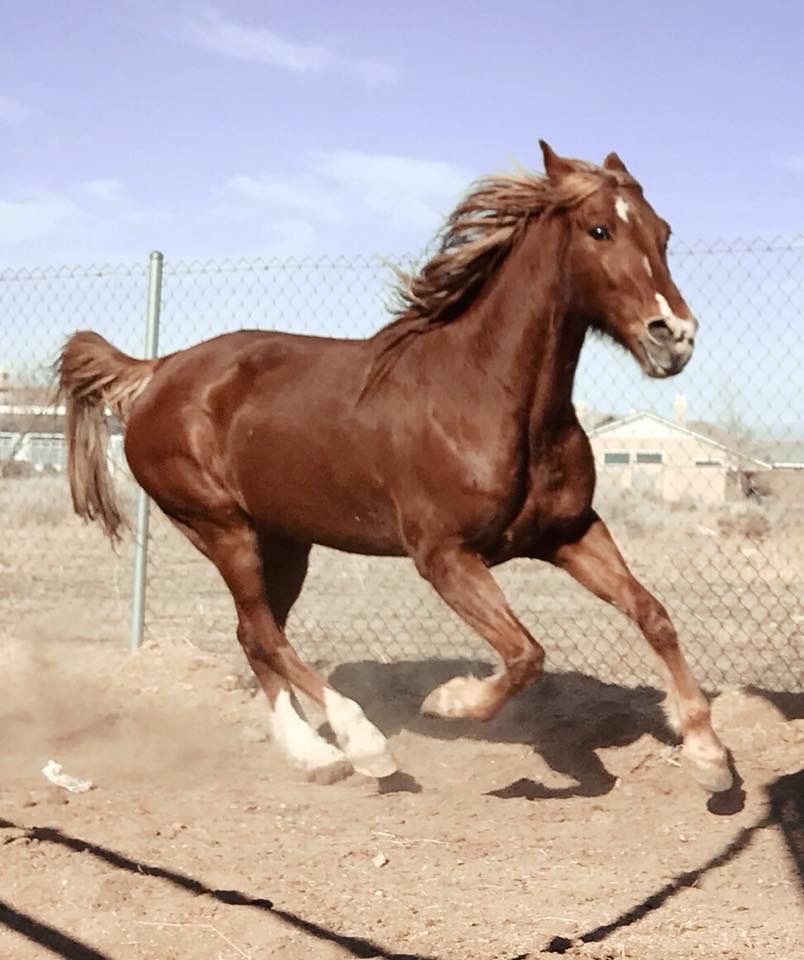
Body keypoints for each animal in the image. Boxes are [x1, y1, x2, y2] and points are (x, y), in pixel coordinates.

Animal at [57, 141, 732, 794]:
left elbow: (652, 614)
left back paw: (315, 757)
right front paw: (449, 702)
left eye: (663, 231)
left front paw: (709, 755)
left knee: (256, 635)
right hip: (221, 528)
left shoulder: (568, 533)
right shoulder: (443, 555)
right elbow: (524, 654)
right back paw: (361, 744)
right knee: (265, 634)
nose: (674, 336)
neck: (488, 396)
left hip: (284, 540)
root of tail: (158, 370)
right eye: (599, 230)